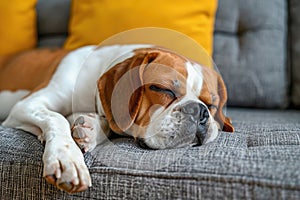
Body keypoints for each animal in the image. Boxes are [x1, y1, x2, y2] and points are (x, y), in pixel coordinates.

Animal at [0, 45, 234, 192]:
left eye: (212, 105)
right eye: (163, 89)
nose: (199, 110)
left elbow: (104, 122)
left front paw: (89, 129)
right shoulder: (26, 105)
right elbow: (57, 118)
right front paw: (66, 158)